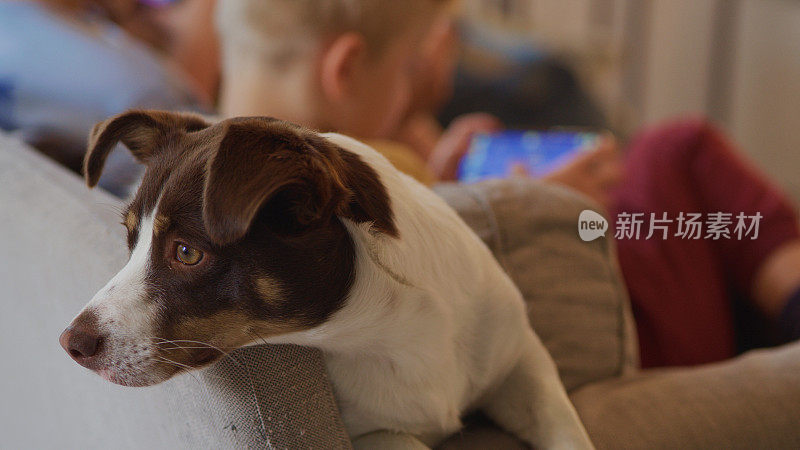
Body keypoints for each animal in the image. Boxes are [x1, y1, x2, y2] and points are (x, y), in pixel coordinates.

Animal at [59, 110, 592, 450]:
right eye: (129, 242)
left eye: (186, 252)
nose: (69, 344)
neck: (386, 325)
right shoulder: (371, 434)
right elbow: (401, 437)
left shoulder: (524, 360)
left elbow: (569, 430)